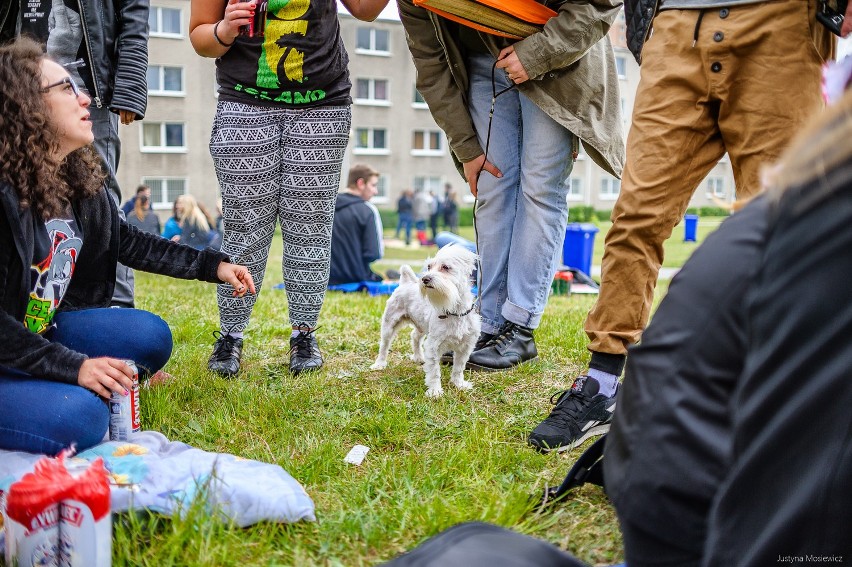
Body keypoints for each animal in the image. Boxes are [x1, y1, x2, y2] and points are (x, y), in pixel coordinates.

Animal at [372, 245, 482, 400]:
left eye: (445, 267)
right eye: (429, 267)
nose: (424, 279)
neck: (454, 311)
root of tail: (406, 282)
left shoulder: (466, 346)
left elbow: (459, 368)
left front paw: (458, 384)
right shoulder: (433, 346)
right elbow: (434, 372)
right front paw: (435, 391)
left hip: (421, 327)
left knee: (414, 337)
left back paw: (419, 357)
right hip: (389, 324)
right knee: (384, 345)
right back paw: (380, 364)